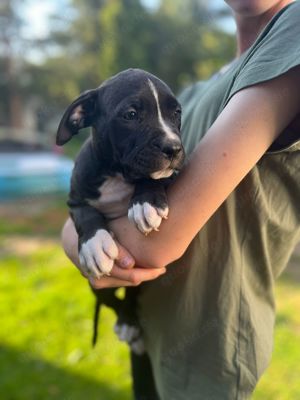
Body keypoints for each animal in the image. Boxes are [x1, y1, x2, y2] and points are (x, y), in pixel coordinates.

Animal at [55, 69, 184, 354]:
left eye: (177, 113)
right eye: (131, 114)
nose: (174, 148)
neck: (116, 175)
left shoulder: (172, 174)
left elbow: (153, 178)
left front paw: (145, 202)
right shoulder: (75, 200)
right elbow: (87, 215)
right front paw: (94, 245)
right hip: (99, 288)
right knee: (114, 301)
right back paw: (127, 323)